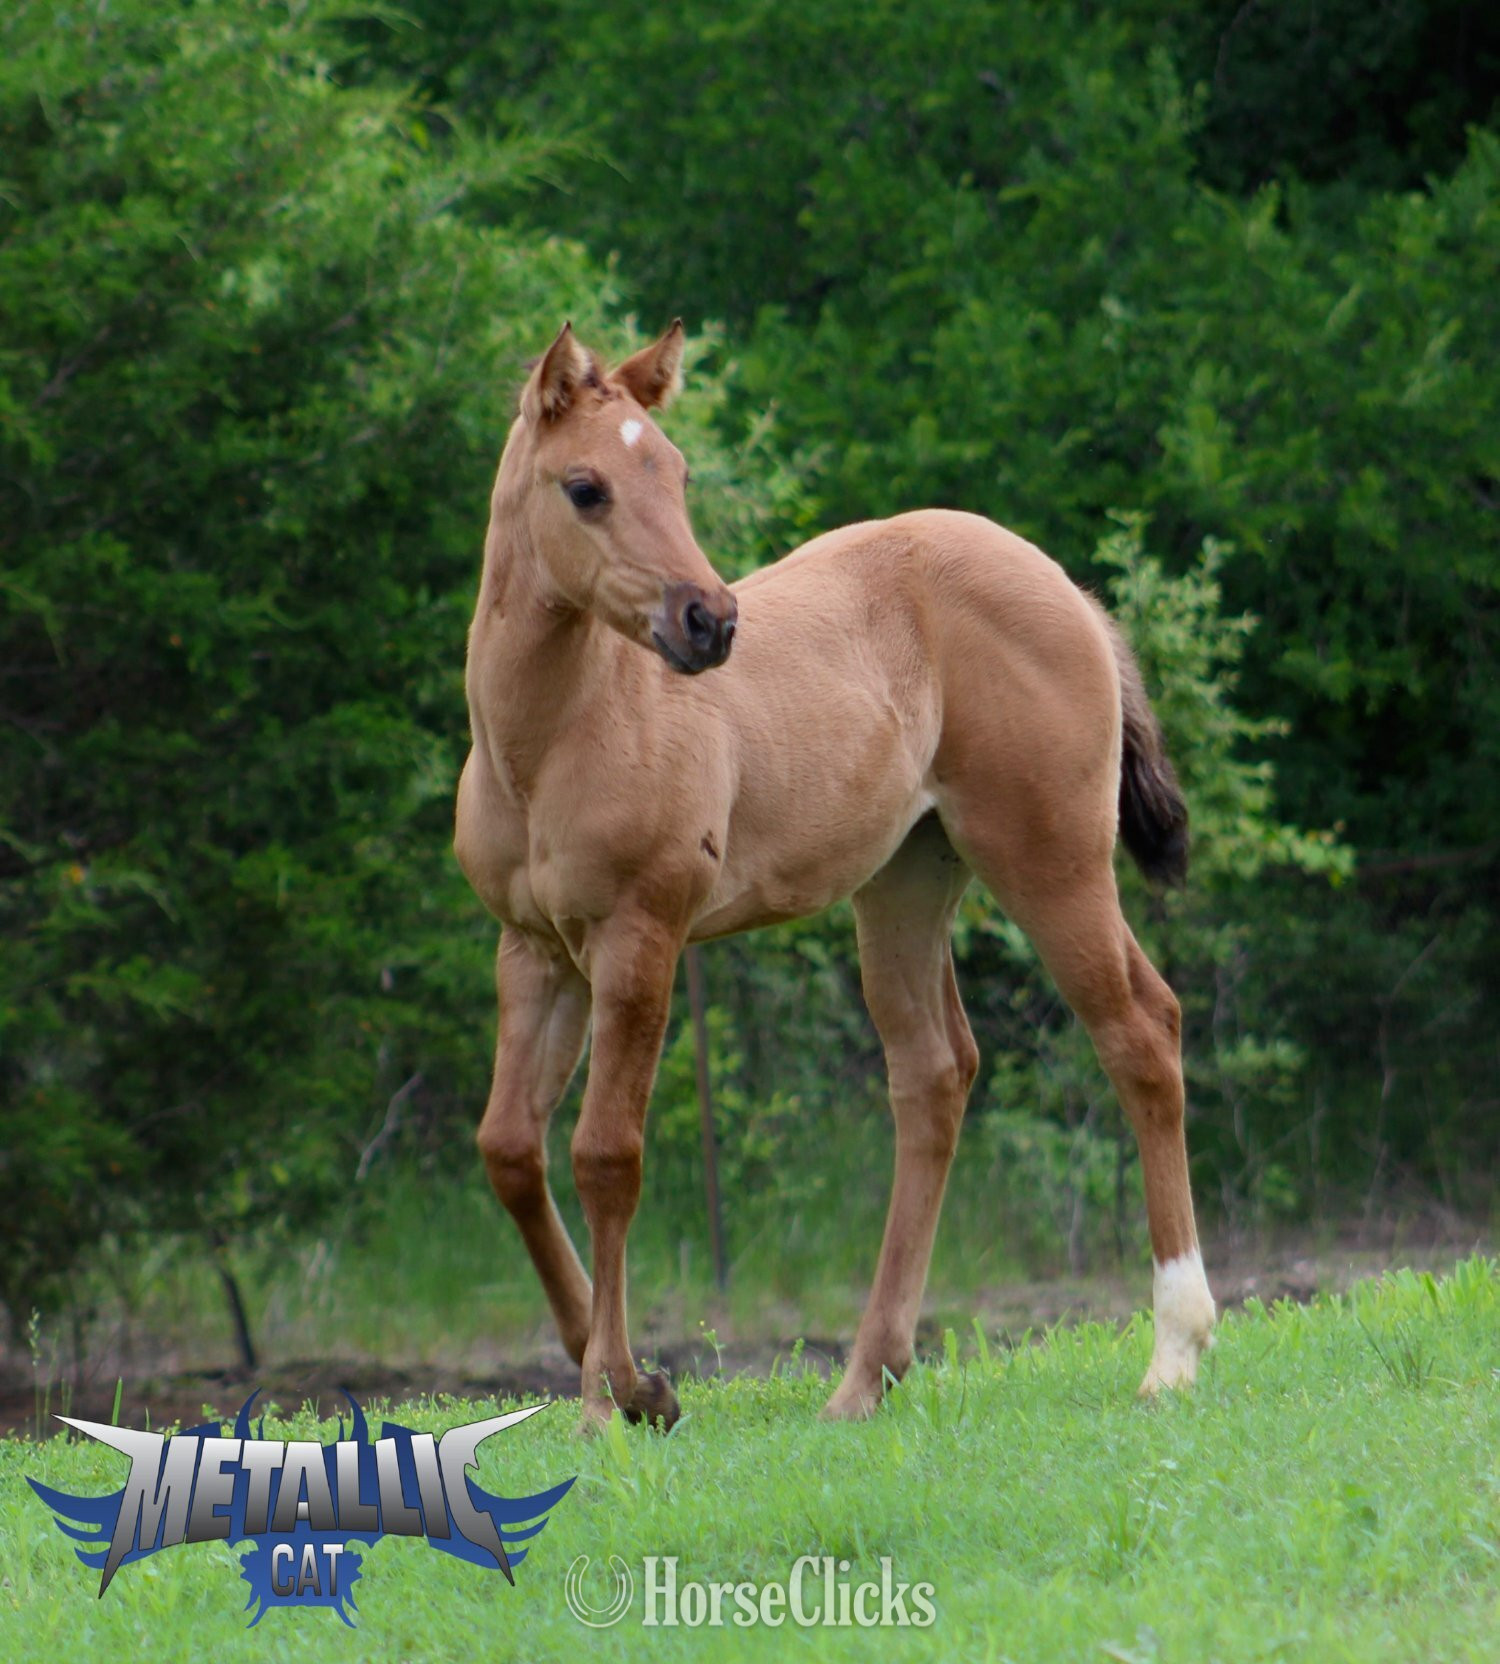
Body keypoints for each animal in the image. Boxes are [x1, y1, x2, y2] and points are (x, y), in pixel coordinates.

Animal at [454, 320, 1216, 1430]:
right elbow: (511, 1149)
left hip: (1049, 857)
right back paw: (866, 1378)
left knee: (1139, 1035)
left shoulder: (641, 938)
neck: (552, 738)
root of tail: (1069, 591)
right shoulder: (536, 950)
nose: (710, 622)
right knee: (936, 1073)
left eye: (676, 471)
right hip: (907, 881)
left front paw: (612, 1395)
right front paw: (629, 1376)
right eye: (586, 486)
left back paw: (1174, 1351)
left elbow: (607, 1153)